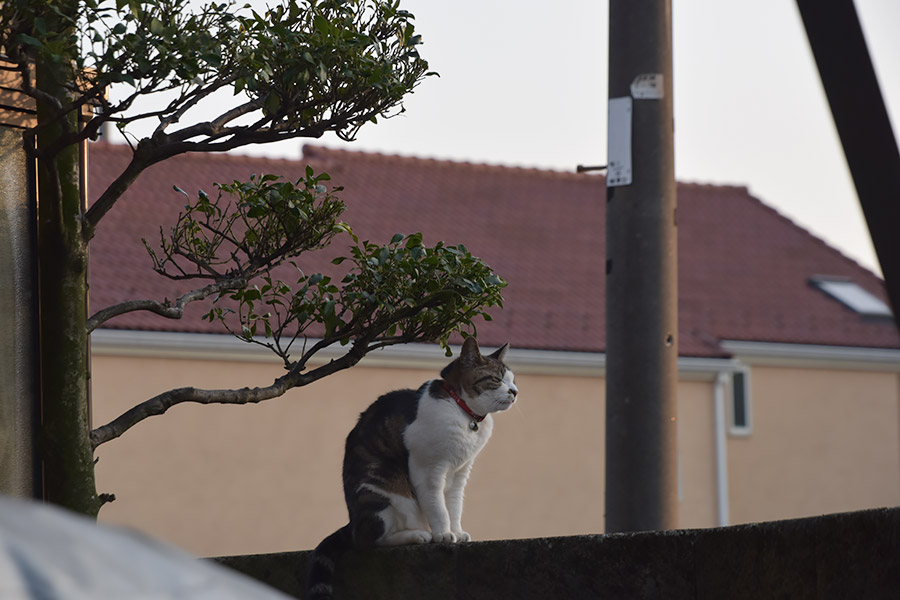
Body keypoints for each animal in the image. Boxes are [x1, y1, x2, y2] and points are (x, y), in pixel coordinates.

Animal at [306, 338, 516, 600]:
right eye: (496, 379)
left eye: (513, 379)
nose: (515, 391)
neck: (462, 413)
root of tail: (351, 522)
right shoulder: (429, 470)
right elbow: (438, 507)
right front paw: (444, 534)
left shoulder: (460, 473)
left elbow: (454, 506)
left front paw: (457, 531)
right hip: (388, 496)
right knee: (366, 540)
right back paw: (417, 535)